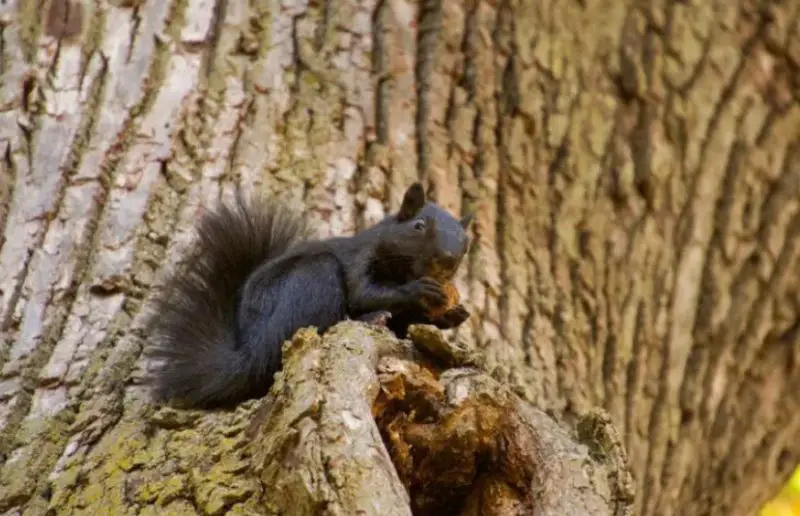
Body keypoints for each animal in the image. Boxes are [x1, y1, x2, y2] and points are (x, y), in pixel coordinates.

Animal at [144, 183, 474, 409]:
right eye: (418, 226)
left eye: (466, 242)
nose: (447, 260)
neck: (402, 271)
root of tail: (251, 351)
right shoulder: (358, 259)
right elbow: (364, 293)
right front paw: (418, 291)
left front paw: (452, 315)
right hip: (313, 280)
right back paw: (372, 318)